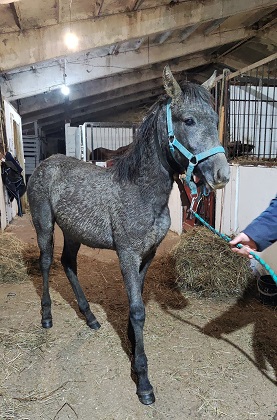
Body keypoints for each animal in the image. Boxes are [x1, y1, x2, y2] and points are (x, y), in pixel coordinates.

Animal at [27, 65, 229, 404]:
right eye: (188, 120)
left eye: (215, 120)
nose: (222, 175)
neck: (141, 191)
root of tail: (46, 163)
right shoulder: (128, 254)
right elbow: (137, 310)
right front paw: (143, 381)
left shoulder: (147, 254)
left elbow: (139, 306)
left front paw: (134, 349)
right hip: (44, 225)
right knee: (45, 263)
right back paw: (46, 317)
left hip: (73, 232)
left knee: (68, 263)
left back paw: (90, 318)